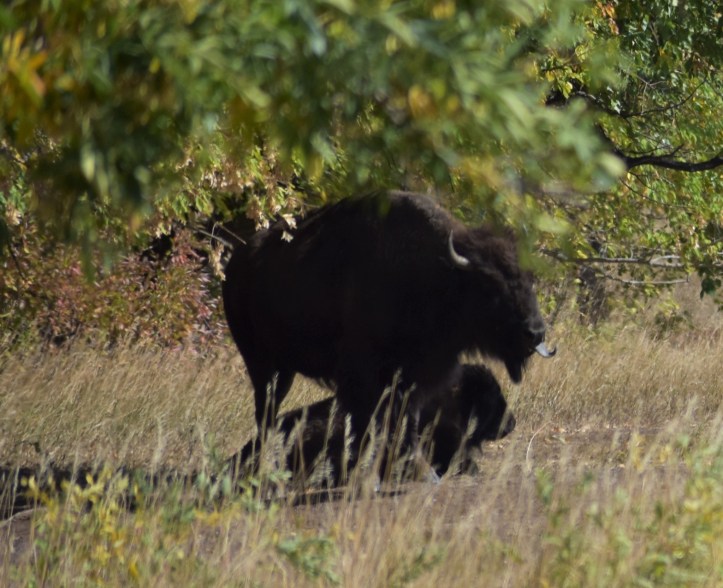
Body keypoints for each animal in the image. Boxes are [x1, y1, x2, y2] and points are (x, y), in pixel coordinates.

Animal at [222, 191, 554, 462]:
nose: (535, 332)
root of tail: (235, 264)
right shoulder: (362, 375)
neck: (438, 276)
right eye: (490, 286)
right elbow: (363, 422)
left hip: (284, 367)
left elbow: (404, 420)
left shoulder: (414, 377)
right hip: (262, 364)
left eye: (529, 279)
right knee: (266, 410)